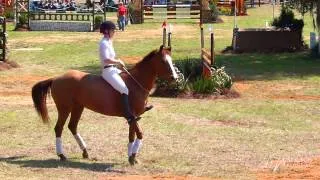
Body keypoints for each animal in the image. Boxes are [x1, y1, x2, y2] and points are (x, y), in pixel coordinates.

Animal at [31, 45, 178, 165]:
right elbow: (140, 134)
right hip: (64, 108)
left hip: (78, 107)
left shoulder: (133, 118)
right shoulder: (133, 116)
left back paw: (85, 152)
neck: (136, 83)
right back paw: (62, 155)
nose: (175, 78)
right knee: (59, 128)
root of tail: (56, 78)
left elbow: (131, 136)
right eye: (163, 61)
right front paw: (132, 157)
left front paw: (131, 157)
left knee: (72, 126)